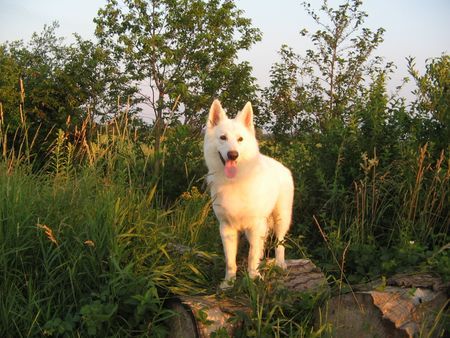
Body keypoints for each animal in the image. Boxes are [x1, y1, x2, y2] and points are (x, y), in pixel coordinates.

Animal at [204, 99, 296, 286]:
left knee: (279, 243)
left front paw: (253, 278)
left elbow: (252, 256)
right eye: (223, 138)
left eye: (240, 139)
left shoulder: (256, 226)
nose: (233, 154)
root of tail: (281, 166)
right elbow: (230, 261)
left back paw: (280, 264)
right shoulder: (227, 229)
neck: (236, 181)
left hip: (281, 218)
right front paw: (229, 283)